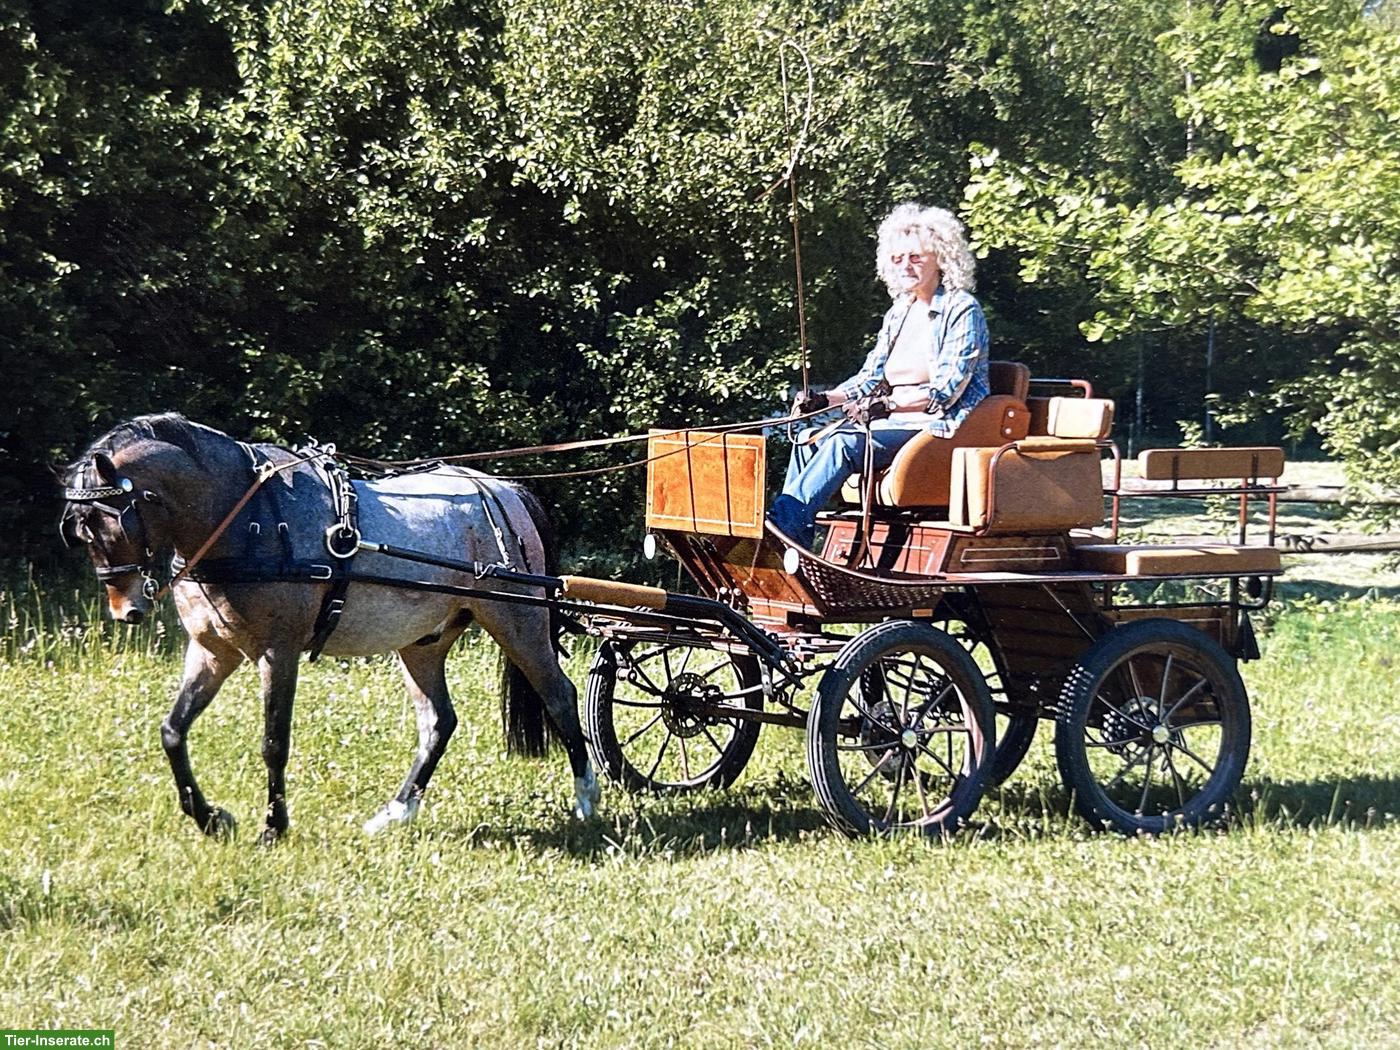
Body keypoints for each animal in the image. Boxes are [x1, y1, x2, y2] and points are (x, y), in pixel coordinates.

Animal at [59, 413, 599, 844]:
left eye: (109, 524)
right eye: (78, 531)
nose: (125, 610)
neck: (244, 518)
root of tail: (507, 491)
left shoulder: (279, 652)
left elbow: (274, 742)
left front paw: (273, 827)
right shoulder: (212, 651)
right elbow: (173, 730)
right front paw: (211, 818)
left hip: (518, 623)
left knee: (560, 697)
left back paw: (586, 798)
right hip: (422, 642)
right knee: (438, 722)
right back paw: (395, 812)